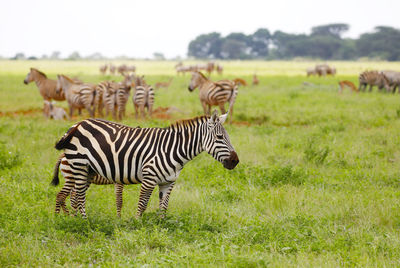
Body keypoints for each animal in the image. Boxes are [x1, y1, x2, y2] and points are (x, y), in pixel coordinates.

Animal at [50, 111, 238, 218]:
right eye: (220, 137)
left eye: (228, 137)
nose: (235, 161)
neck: (173, 149)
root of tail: (77, 124)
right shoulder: (149, 178)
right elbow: (142, 205)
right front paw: (136, 226)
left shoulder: (168, 182)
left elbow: (163, 207)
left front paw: (161, 228)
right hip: (78, 165)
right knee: (79, 197)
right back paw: (83, 222)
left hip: (87, 171)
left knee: (75, 196)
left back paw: (74, 220)